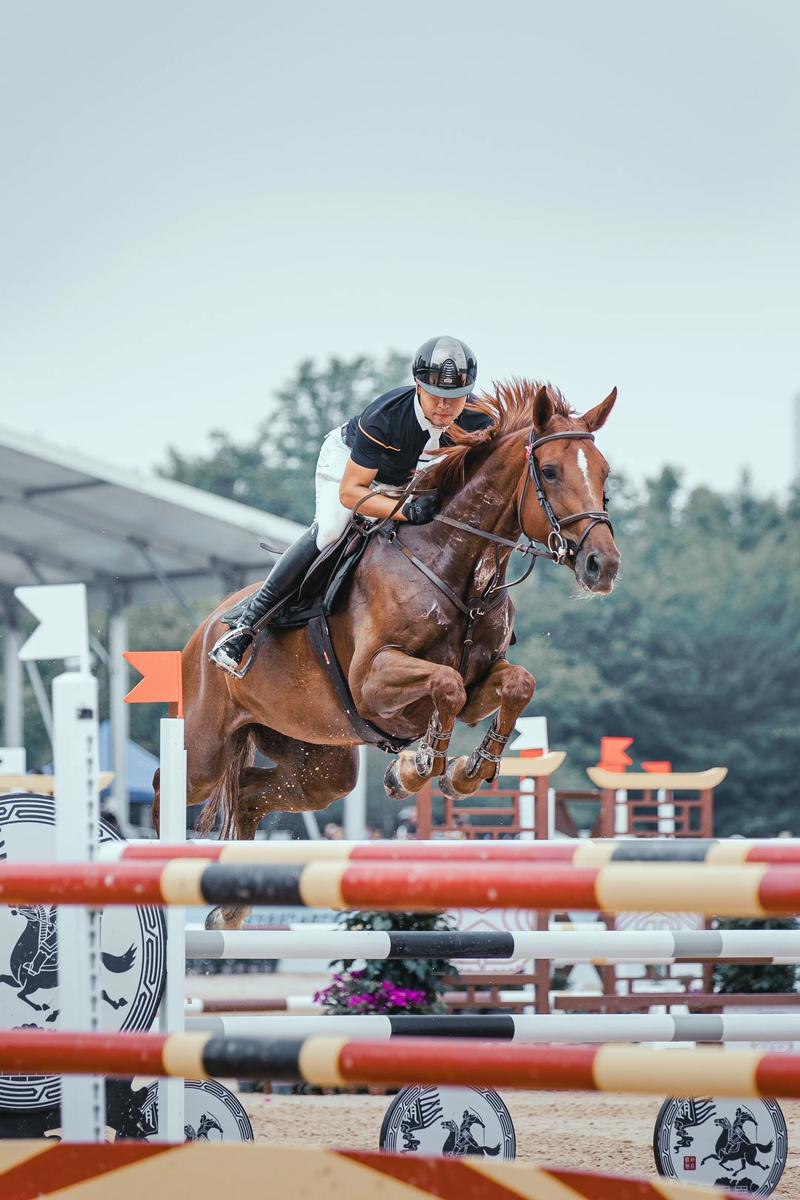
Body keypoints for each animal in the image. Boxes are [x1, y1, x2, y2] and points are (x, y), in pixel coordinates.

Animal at [161, 380, 620, 928]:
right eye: (549, 471)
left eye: (605, 472)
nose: (602, 566)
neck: (452, 564)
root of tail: (205, 626)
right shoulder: (372, 682)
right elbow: (445, 683)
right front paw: (417, 767)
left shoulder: (479, 686)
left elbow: (515, 683)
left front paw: (465, 771)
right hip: (203, 749)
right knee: (168, 787)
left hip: (319, 764)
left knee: (251, 794)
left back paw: (228, 911)